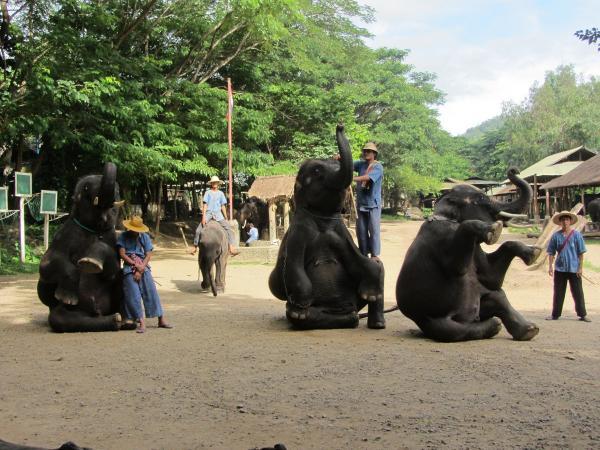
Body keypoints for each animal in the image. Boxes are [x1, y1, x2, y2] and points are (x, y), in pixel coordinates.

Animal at [37, 163, 124, 332]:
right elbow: (46, 265)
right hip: (72, 312)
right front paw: (67, 298)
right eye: (85, 188)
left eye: (117, 190)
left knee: (124, 276)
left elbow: (113, 271)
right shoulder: (65, 233)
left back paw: (127, 320)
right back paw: (115, 321)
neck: (95, 229)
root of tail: (97, 312)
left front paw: (91, 263)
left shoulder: (112, 238)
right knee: (60, 319)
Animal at [268, 125, 384, 328]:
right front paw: (299, 309)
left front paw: (370, 294)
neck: (322, 218)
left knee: (377, 268)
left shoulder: (343, 233)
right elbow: (294, 265)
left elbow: (362, 261)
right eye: (316, 171)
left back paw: (363, 320)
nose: (340, 125)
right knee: (303, 315)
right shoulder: (298, 232)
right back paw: (305, 315)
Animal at [396, 168, 540, 342]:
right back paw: (494, 325)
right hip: (430, 319)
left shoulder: (475, 248)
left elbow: (492, 278)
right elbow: (459, 268)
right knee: (454, 330)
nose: (514, 170)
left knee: (497, 296)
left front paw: (535, 253)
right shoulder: (441, 237)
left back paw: (529, 330)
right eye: (481, 199)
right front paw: (495, 230)